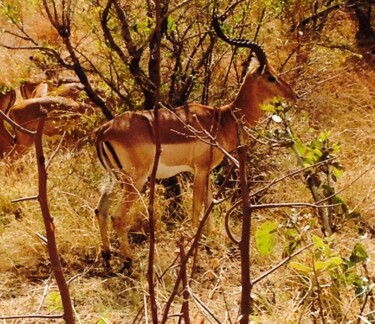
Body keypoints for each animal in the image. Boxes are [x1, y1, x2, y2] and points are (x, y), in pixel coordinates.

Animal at [95, 15, 298, 268]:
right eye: (271, 77)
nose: (294, 95)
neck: (222, 118)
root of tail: (104, 130)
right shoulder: (199, 171)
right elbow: (197, 209)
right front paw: (196, 251)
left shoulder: (207, 172)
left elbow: (209, 205)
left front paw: (210, 242)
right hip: (135, 181)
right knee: (117, 216)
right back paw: (128, 259)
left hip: (113, 178)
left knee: (100, 210)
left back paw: (106, 256)